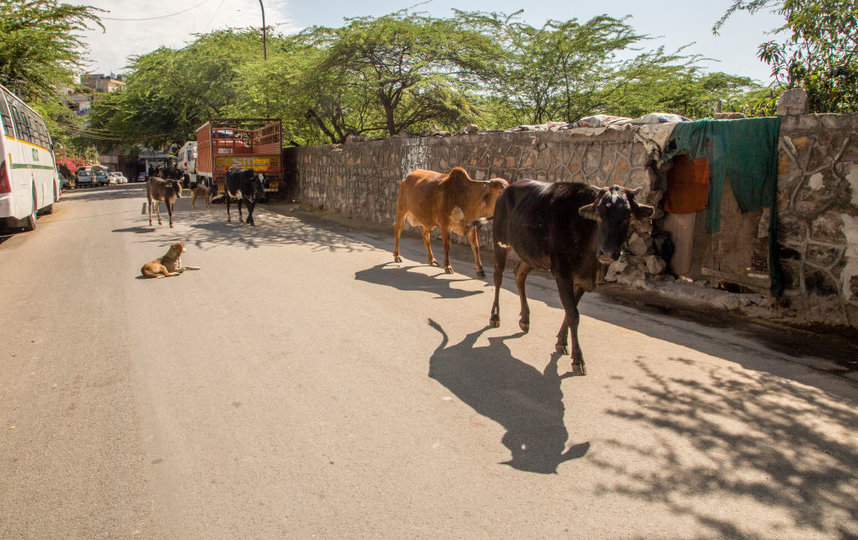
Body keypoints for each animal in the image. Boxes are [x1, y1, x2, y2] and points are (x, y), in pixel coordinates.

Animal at [488, 181, 656, 376]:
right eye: (599, 214)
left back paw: (525, 319)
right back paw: (495, 316)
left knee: (519, 275)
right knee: (498, 277)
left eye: (627, 216)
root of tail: (507, 189)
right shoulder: (562, 273)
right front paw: (578, 359)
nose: (607, 253)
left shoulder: (582, 279)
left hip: (529, 255)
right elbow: (573, 314)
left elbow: (571, 310)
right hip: (500, 242)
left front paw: (562, 341)